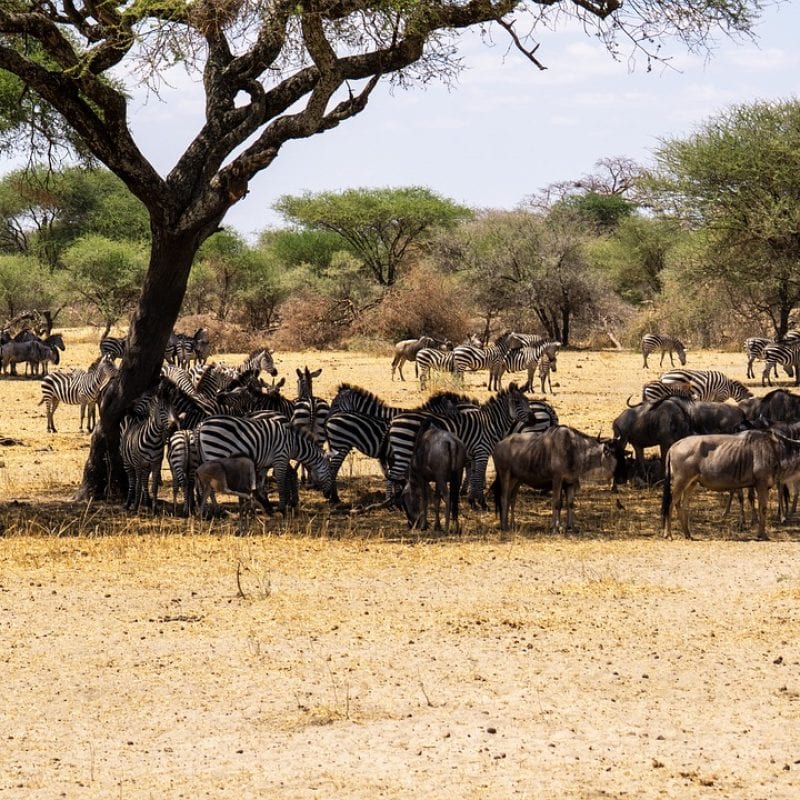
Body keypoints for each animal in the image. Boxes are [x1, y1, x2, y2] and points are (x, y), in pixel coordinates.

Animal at [195, 414, 332, 513]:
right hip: (215, 452)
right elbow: (281, 484)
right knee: (210, 487)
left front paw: (261, 506)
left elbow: (260, 485)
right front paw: (281, 508)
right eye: (328, 472)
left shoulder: (265, 466)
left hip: (206, 456)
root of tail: (202, 424)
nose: (329, 496)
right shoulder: (280, 459)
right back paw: (216, 509)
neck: (293, 444)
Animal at [384, 383, 530, 508]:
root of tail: (394, 420)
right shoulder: (482, 452)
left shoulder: (474, 454)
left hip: (402, 451)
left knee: (393, 474)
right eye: (517, 402)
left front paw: (472, 501)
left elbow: (474, 476)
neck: (490, 423)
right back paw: (393, 503)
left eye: (527, 401)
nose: (532, 419)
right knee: (393, 474)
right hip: (405, 450)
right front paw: (482, 503)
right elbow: (478, 477)